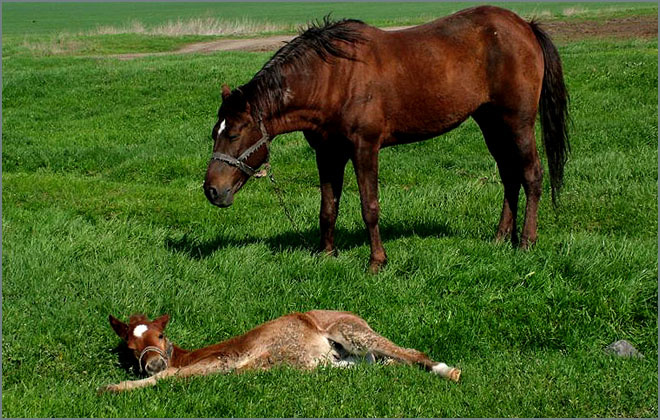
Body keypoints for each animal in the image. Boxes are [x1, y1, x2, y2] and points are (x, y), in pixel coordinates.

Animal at [203, 5, 569, 272]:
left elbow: (370, 206)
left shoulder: (365, 149)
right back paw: (500, 237)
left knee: (531, 175)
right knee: (509, 176)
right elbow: (328, 206)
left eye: (233, 133)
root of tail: (525, 26)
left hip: (518, 123)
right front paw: (326, 254)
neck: (334, 77)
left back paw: (526, 241)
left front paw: (376, 262)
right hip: (491, 123)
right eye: (214, 133)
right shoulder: (328, 153)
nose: (212, 190)